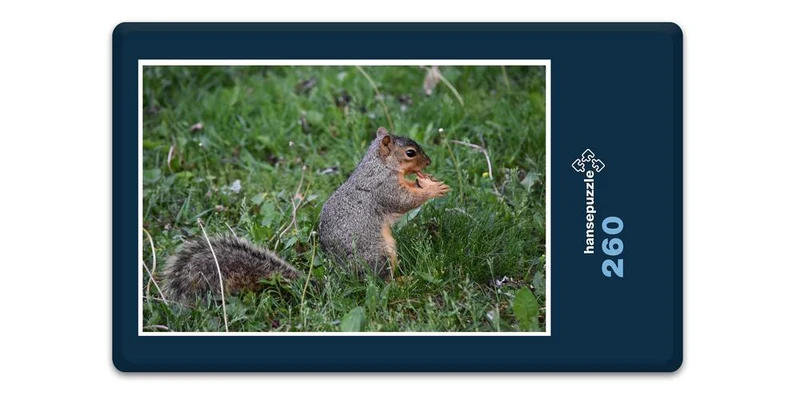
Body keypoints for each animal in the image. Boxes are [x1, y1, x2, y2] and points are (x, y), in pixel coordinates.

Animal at [161, 127, 449, 302]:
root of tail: (343, 278)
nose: (429, 163)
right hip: (377, 253)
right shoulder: (383, 188)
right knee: (379, 282)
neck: (379, 164)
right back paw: (402, 281)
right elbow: (403, 200)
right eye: (410, 153)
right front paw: (433, 188)